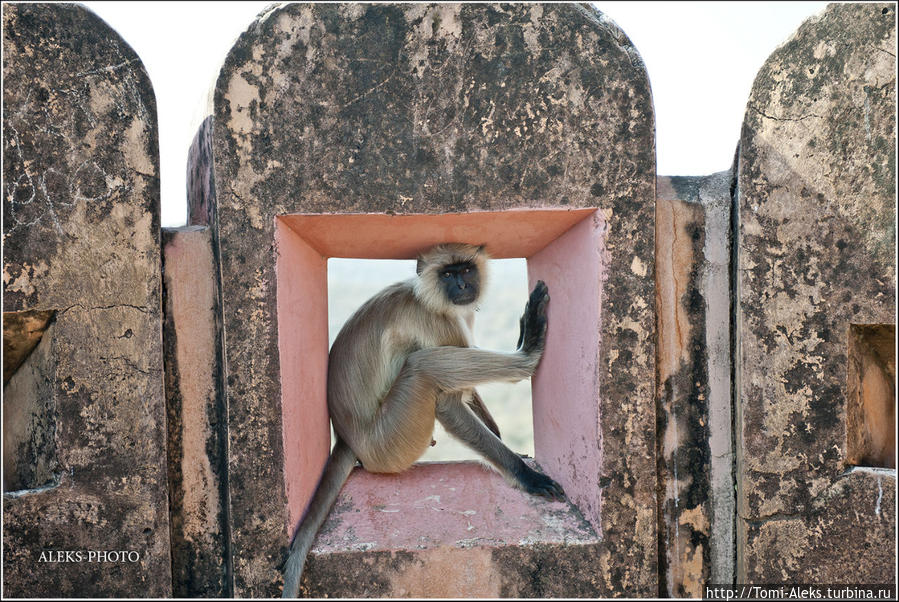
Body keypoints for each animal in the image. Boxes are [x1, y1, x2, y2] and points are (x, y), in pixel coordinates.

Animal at [282, 240, 564, 596]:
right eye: (447, 274)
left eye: (466, 269)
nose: (461, 286)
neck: (428, 298)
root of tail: (346, 436)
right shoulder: (437, 322)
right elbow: (448, 403)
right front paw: (525, 474)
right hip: (389, 441)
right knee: (423, 365)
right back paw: (528, 352)